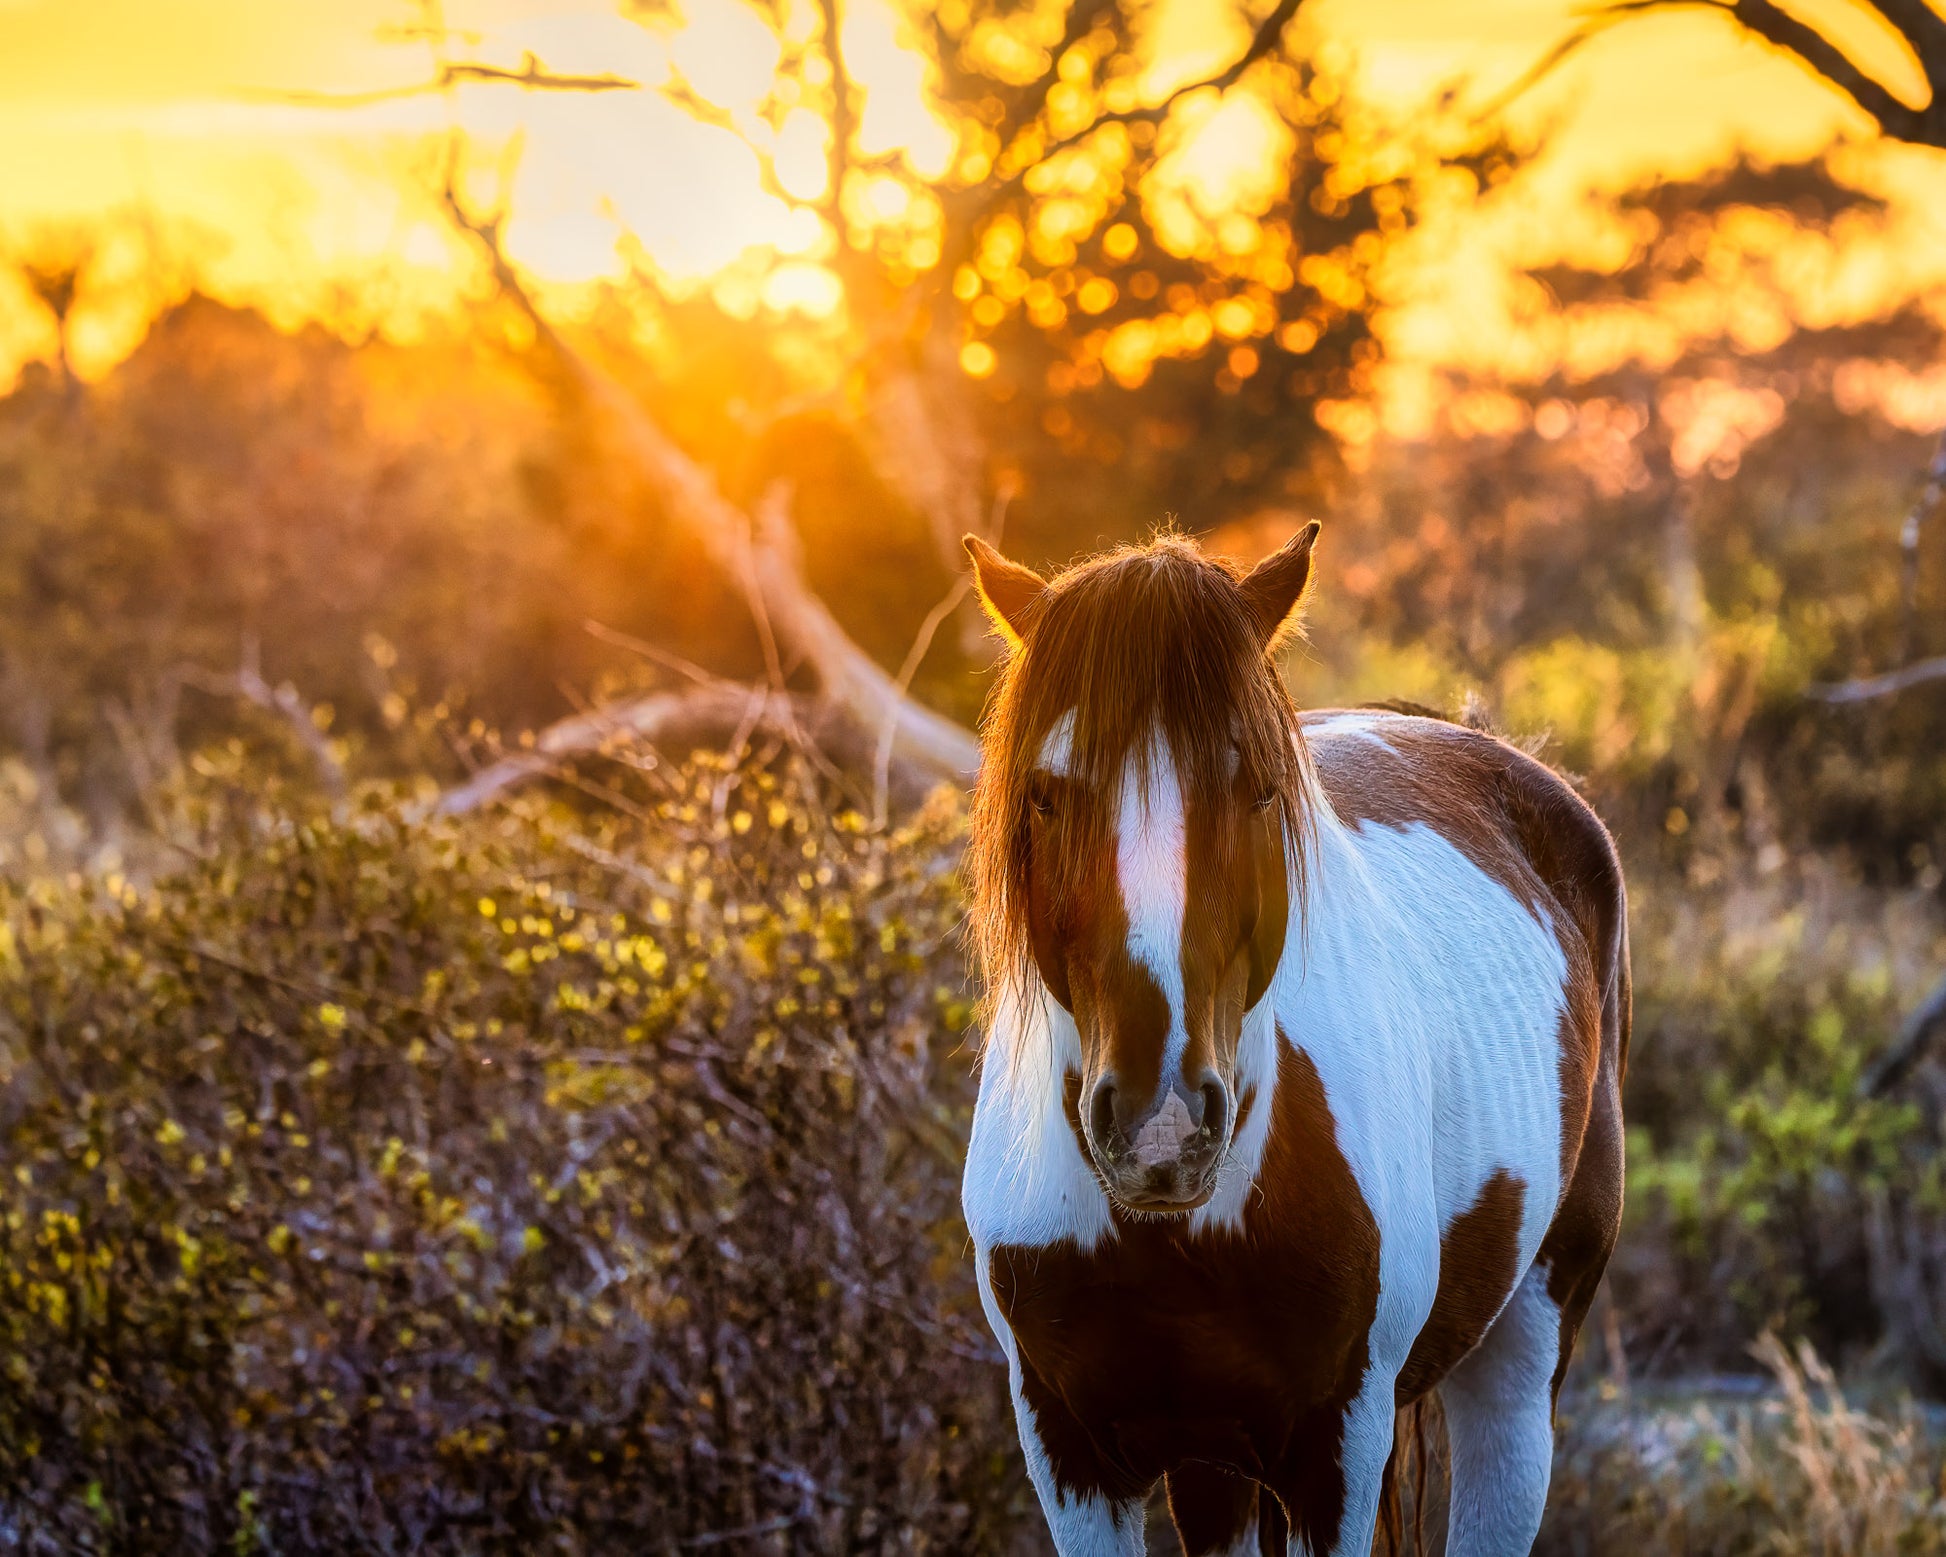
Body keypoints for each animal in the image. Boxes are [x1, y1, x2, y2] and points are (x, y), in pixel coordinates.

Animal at [958, 526, 1628, 1557]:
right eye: (1045, 793)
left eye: (1258, 788)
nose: (1160, 1125)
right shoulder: (1068, 1450)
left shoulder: (1336, 1451)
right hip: (1210, 1463)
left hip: (1520, 1362)